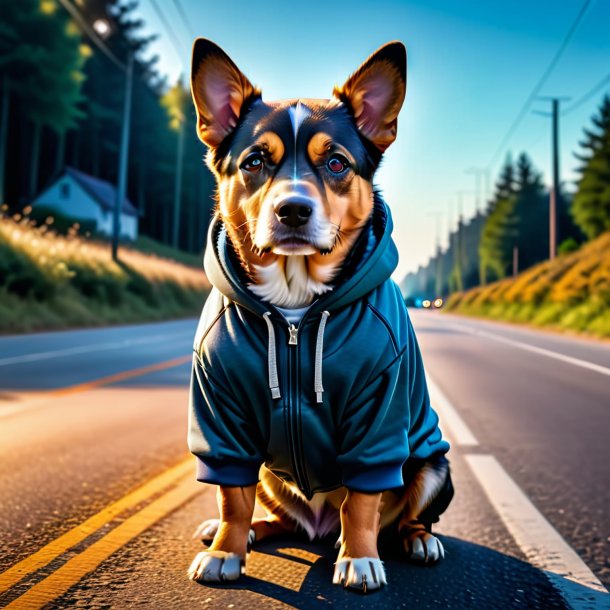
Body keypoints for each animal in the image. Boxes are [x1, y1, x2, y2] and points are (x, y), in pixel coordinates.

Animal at [185, 38, 452, 588]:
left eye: (335, 163)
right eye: (254, 162)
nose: (292, 210)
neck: (295, 310)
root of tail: (317, 528)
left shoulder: (380, 415)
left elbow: (362, 502)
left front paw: (360, 559)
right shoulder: (218, 409)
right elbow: (231, 495)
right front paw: (225, 550)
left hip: (435, 465)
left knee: (404, 514)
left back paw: (416, 539)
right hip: (271, 474)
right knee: (271, 514)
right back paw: (244, 532)